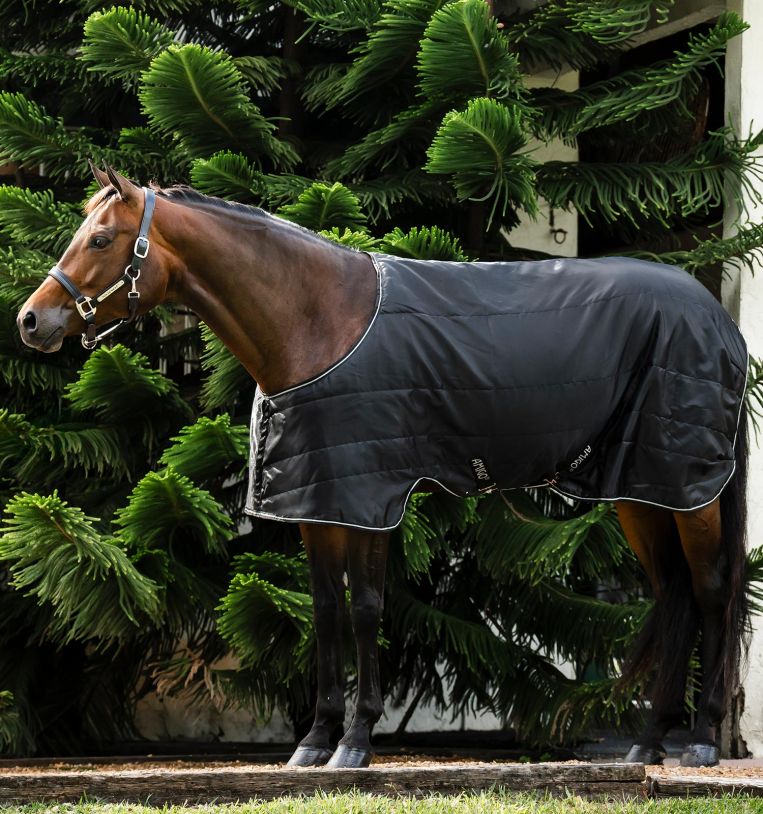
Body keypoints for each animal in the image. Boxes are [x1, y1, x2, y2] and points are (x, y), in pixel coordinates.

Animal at [17, 164, 749, 769]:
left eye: (101, 240)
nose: (30, 321)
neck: (319, 322)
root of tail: (719, 320)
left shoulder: (370, 497)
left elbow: (366, 608)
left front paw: (356, 740)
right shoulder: (318, 500)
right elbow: (325, 610)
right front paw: (315, 741)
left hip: (690, 489)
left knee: (710, 589)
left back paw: (702, 741)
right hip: (643, 490)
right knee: (674, 594)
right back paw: (647, 742)